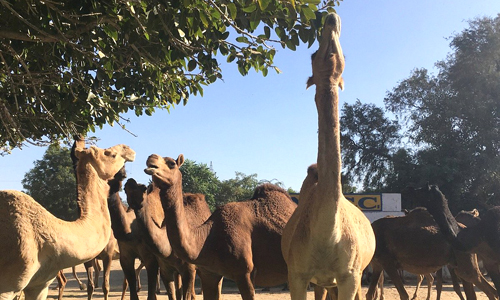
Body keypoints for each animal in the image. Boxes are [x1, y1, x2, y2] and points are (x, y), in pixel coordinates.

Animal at [282, 12, 376, 300]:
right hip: (321, 281)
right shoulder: (297, 275)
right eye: (312, 54)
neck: (327, 236)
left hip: (353, 276)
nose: (331, 18)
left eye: (345, 54)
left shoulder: (350, 275)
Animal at [366, 207, 498, 300]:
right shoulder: (377, 264)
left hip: (466, 265)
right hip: (460, 265)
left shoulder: (388, 262)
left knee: (491, 291)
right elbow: (370, 294)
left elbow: (404, 295)